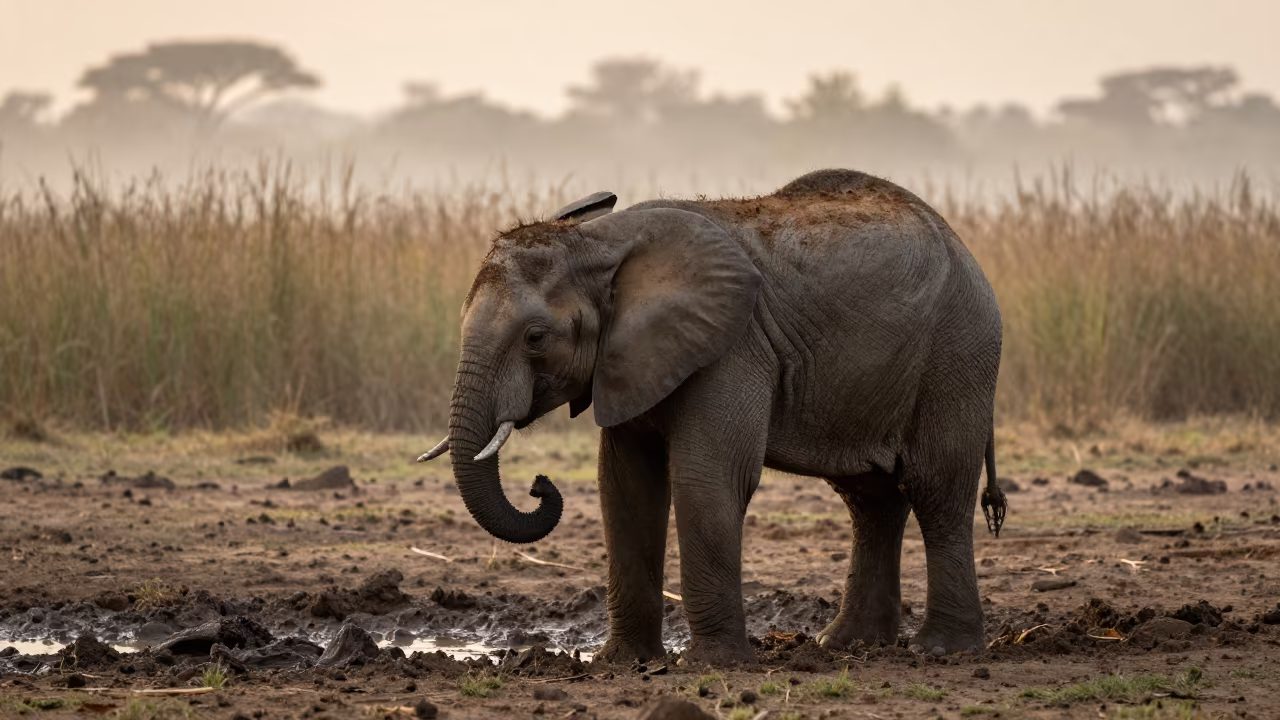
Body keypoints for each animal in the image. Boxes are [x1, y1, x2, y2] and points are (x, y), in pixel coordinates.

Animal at [418, 168, 1007, 665]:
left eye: (536, 338)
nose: (541, 485)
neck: (602, 242)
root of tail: (963, 246)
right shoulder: (632, 358)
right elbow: (626, 487)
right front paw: (622, 663)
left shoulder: (733, 346)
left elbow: (708, 479)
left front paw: (713, 664)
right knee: (871, 500)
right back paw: (845, 645)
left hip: (957, 353)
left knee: (936, 490)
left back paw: (941, 650)